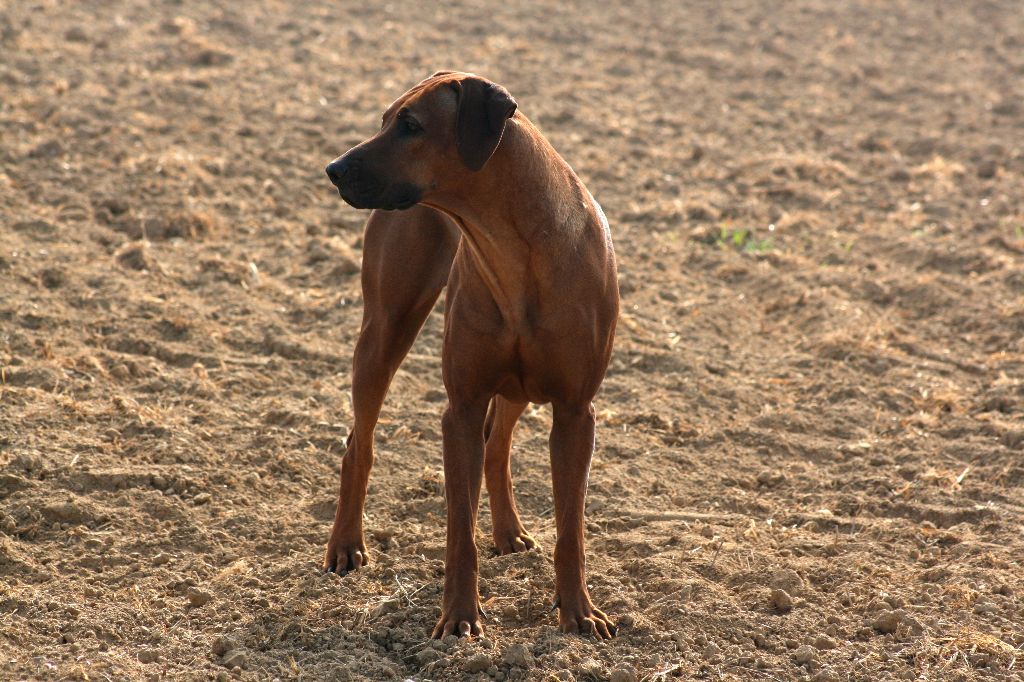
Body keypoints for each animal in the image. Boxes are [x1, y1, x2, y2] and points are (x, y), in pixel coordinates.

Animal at [323, 71, 618, 634]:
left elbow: (571, 530)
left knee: (497, 445)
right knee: (359, 443)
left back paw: (507, 531)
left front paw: (578, 612)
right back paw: (346, 544)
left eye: (411, 125)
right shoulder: (460, 407)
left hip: (518, 384)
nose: (334, 169)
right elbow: (459, 530)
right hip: (385, 328)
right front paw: (459, 615)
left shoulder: (575, 412)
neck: (515, 249)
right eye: (384, 120)